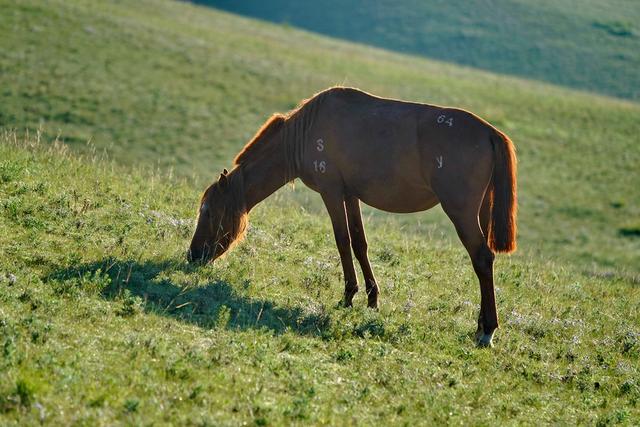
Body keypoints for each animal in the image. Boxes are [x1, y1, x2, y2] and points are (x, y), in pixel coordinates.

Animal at [189, 88, 516, 348]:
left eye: (208, 211)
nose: (192, 255)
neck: (304, 131)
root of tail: (491, 133)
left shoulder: (331, 191)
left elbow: (342, 241)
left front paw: (348, 295)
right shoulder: (351, 195)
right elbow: (360, 243)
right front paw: (372, 298)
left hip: (460, 211)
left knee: (482, 258)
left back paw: (487, 331)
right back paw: (480, 325)